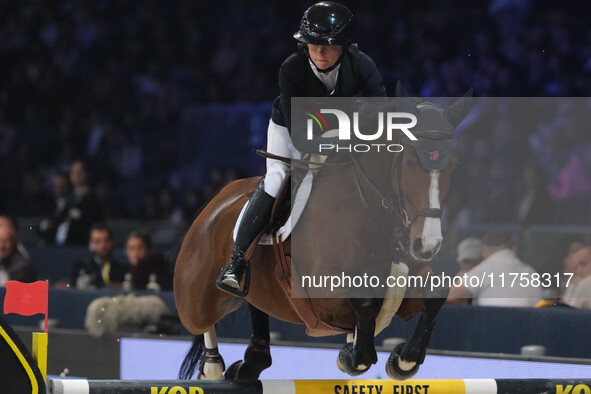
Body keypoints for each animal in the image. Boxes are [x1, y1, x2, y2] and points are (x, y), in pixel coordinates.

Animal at [172, 91, 472, 380]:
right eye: (409, 163)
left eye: (454, 165)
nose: (427, 245)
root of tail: (216, 201)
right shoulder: (323, 295)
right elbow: (364, 301)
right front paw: (354, 356)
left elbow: (436, 292)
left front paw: (404, 360)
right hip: (196, 300)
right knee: (200, 323)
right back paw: (213, 363)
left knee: (256, 308)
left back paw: (249, 364)